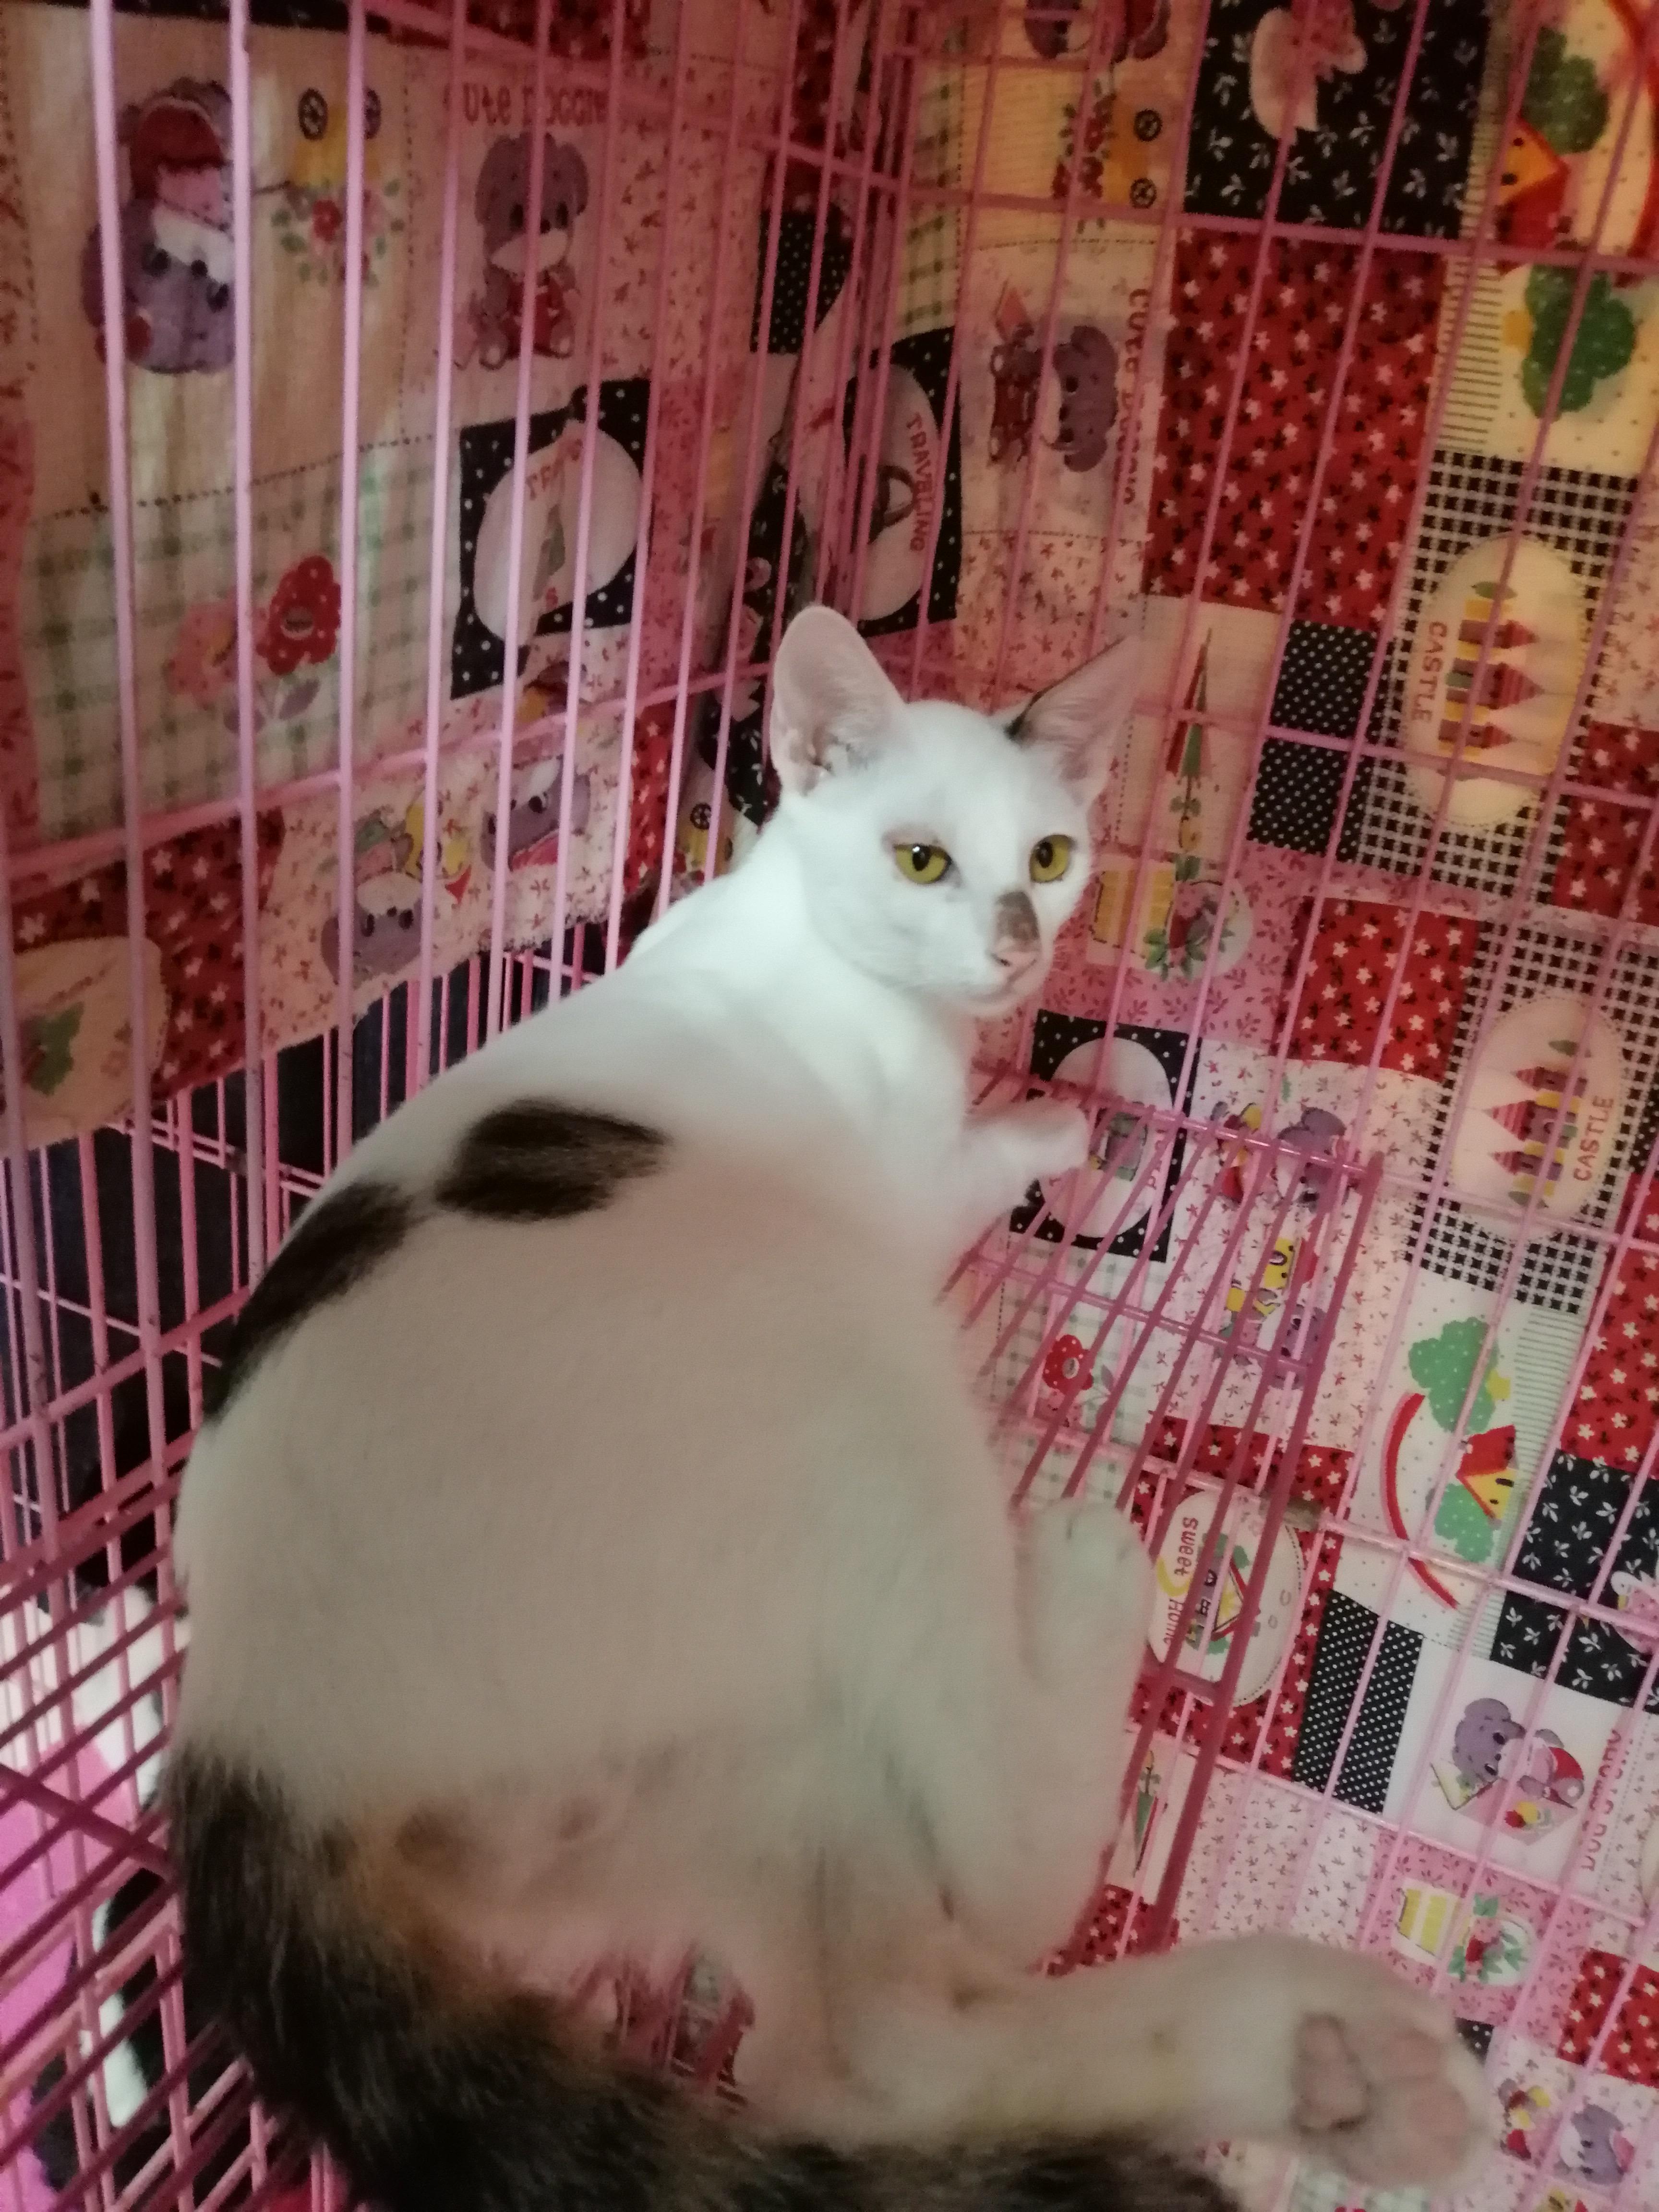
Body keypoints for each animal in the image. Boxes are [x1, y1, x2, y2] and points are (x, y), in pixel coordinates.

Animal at [165, 606, 1488, 2212]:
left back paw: (1331, 2059)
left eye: (1049, 854)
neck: (798, 928)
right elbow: (973, 1162)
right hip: (843, 1372)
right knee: (1004, 1874)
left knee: (854, 2058)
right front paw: (1047, 1123)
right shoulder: (908, 1198)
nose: (1018, 942)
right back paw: (1099, 1600)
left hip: (729, 1768)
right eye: (922, 860)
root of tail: (254, 1737)